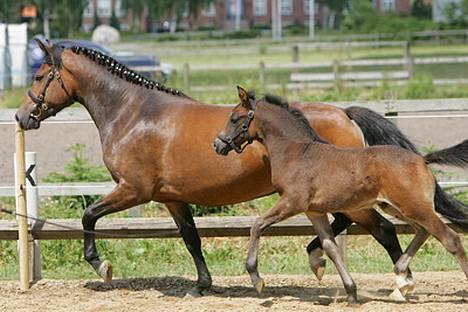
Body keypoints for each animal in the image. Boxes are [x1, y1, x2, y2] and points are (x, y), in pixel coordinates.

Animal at [216, 86, 468, 304]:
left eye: (235, 118)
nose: (217, 145)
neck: (297, 152)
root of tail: (422, 159)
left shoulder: (292, 202)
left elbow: (257, 225)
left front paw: (256, 279)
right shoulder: (314, 211)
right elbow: (331, 248)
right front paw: (350, 293)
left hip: (413, 206)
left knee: (450, 238)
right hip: (396, 206)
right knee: (422, 231)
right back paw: (399, 281)